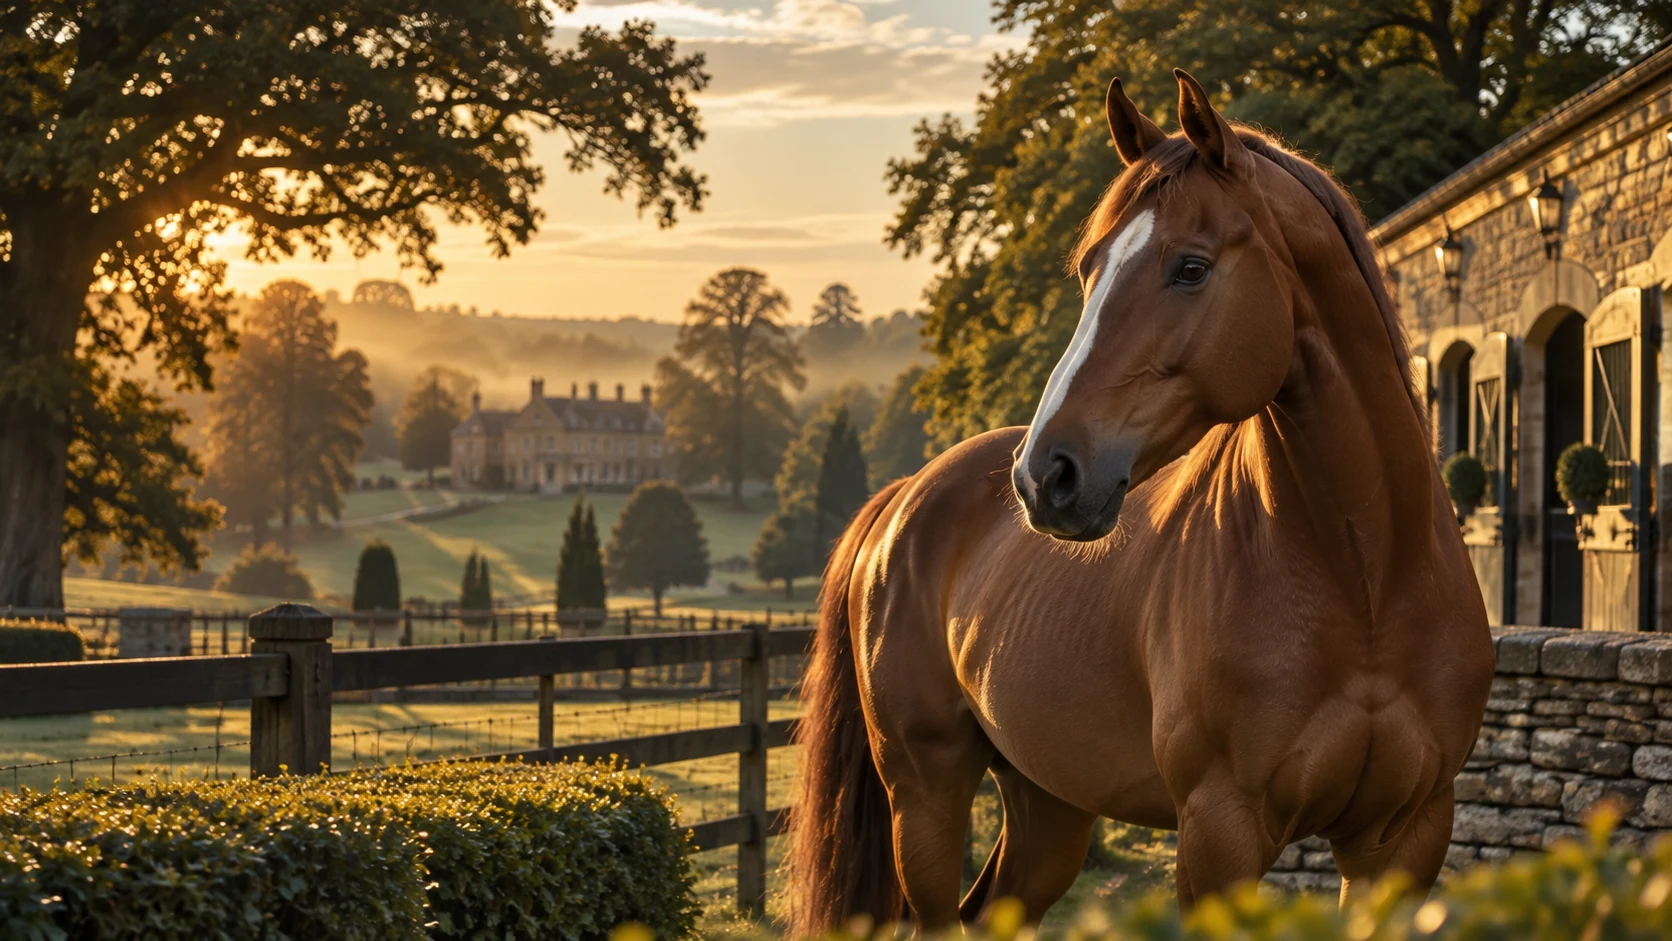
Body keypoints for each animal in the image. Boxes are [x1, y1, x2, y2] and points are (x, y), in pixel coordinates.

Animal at [785, 70, 1494, 935]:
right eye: (1091, 268)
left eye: (1190, 267)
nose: (1045, 475)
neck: (1367, 581)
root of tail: (902, 501)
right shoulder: (1220, 835)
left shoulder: (1405, 837)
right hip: (925, 791)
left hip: (1047, 803)